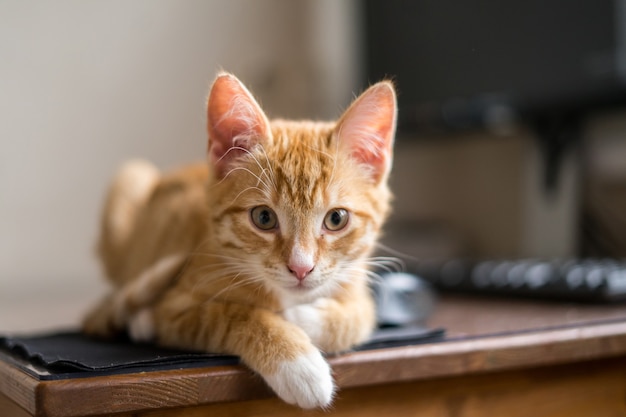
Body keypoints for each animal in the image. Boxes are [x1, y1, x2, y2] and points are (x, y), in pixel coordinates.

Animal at [84, 72, 394, 406]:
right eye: (264, 218)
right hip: (130, 177)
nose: (301, 268)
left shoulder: (358, 288)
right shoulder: (175, 309)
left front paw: (298, 317)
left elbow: (357, 318)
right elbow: (236, 315)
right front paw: (298, 364)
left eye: (336, 219)